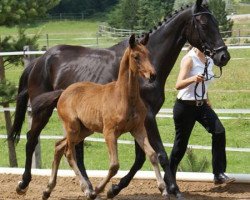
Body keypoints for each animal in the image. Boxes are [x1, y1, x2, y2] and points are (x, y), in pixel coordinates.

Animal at [9, 0, 229, 199]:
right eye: (203, 24)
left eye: (216, 22)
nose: (223, 56)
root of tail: (39, 60)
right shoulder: (148, 117)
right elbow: (161, 154)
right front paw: (173, 189)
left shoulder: (140, 120)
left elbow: (142, 157)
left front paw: (114, 188)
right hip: (43, 112)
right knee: (32, 139)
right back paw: (23, 184)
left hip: (80, 123)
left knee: (73, 150)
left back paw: (88, 188)